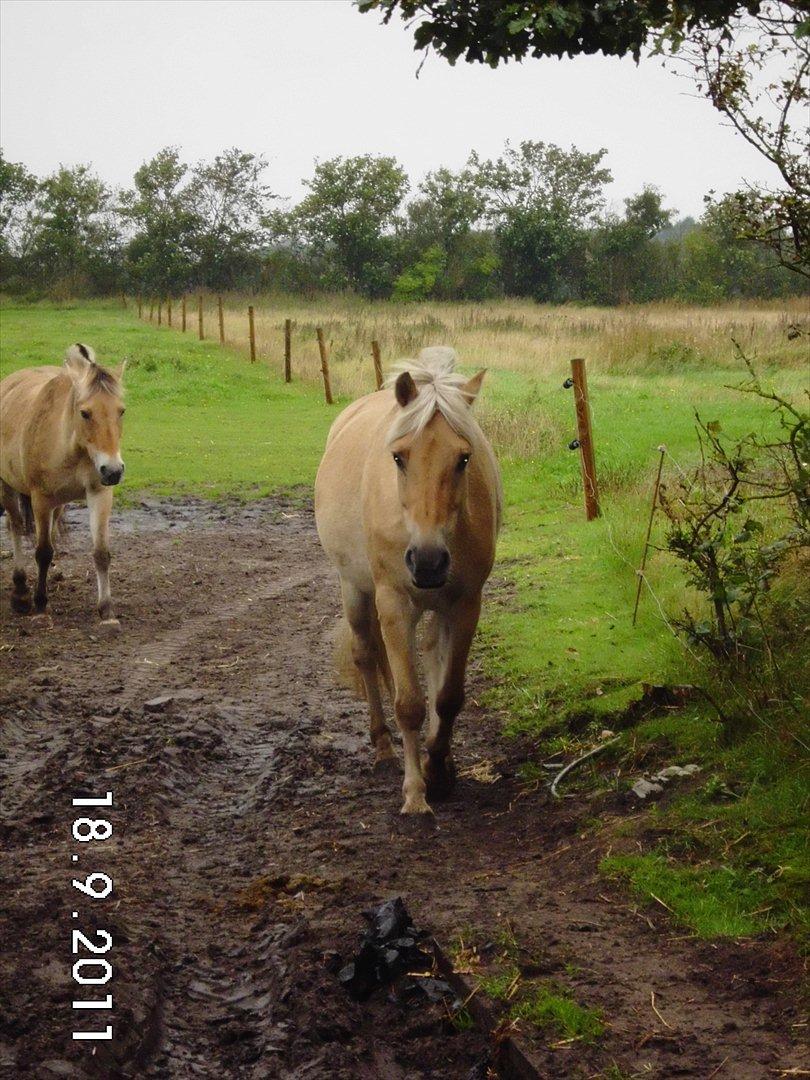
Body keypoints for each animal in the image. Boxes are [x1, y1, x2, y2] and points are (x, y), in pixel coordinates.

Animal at [0, 345, 126, 626]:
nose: (113, 470)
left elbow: (101, 553)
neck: (74, 448)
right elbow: (43, 552)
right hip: (8, 487)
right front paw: (39, 604)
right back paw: (21, 591)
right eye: (85, 413)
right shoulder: (41, 499)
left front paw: (107, 611)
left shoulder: (100, 493)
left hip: (58, 506)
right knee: (15, 526)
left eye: (121, 411)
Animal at [315, 345, 501, 812]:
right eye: (399, 457)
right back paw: (382, 747)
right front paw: (416, 794)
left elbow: (447, 696)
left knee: (432, 654)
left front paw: (439, 770)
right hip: (355, 589)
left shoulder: (465, 604)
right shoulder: (395, 604)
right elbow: (410, 705)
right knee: (365, 654)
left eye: (464, 458)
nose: (428, 562)